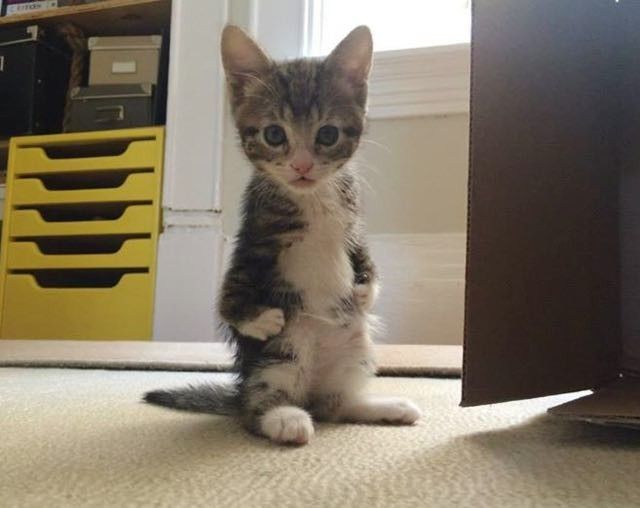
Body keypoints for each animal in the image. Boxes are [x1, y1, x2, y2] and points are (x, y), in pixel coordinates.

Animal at [147, 24, 422, 444]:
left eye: (328, 134)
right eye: (275, 135)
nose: (303, 166)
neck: (313, 198)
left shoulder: (354, 223)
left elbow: (362, 252)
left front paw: (366, 290)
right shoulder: (254, 239)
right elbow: (230, 291)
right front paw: (256, 319)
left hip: (356, 345)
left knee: (334, 406)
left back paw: (385, 407)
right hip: (283, 351)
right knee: (257, 410)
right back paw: (284, 419)